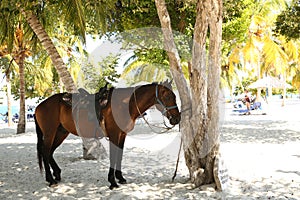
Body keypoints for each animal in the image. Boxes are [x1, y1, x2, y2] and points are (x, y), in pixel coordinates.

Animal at [34, 81, 180, 189]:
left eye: (175, 97)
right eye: (168, 97)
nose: (177, 118)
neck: (124, 104)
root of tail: (39, 107)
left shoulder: (122, 135)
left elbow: (119, 156)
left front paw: (120, 178)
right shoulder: (114, 135)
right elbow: (113, 157)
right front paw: (113, 182)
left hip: (60, 133)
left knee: (50, 152)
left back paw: (57, 175)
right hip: (50, 133)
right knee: (45, 151)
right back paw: (51, 179)